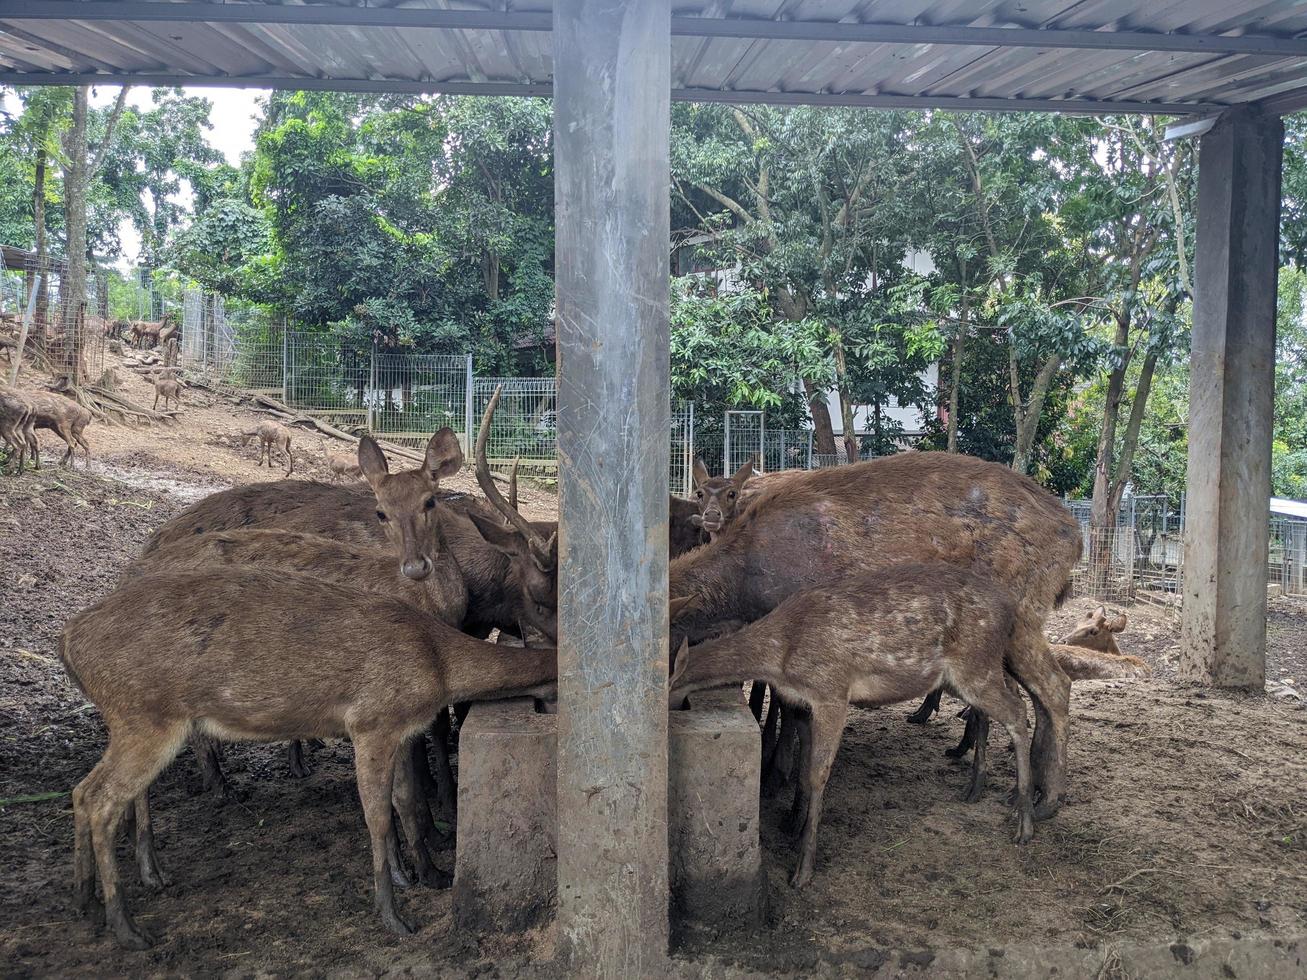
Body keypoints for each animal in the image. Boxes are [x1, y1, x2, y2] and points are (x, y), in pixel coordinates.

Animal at [60, 567, 556, 951]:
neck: (438, 667)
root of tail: (67, 643)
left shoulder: (398, 730)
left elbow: (404, 800)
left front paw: (422, 874)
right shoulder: (372, 720)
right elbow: (377, 815)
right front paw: (393, 915)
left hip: (133, 723)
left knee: (82, 790)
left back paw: (86, 899)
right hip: (145, 716)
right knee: (101, 798)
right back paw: (127, 928)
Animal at [669, 559, 1045, 888]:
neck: (781, 655)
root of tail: (1010, 608)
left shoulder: (831, 692)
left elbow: (818, 774)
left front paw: (803, 869)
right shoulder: (802, 705)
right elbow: (803, 768)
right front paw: (793, 823)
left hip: (975, 665)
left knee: (1017, 711)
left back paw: (1024, 821)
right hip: (964, 674)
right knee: (994, 705)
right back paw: (976, 788)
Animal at [674, 452, 1082, 820]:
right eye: (698, 492)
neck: (742, 586)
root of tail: (1075, 538)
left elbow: (786, 707)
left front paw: (776, 776)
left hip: (1021, 613)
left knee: (1054, 685)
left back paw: (1047, 799)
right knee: (1032, 693)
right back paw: (1022, 788)